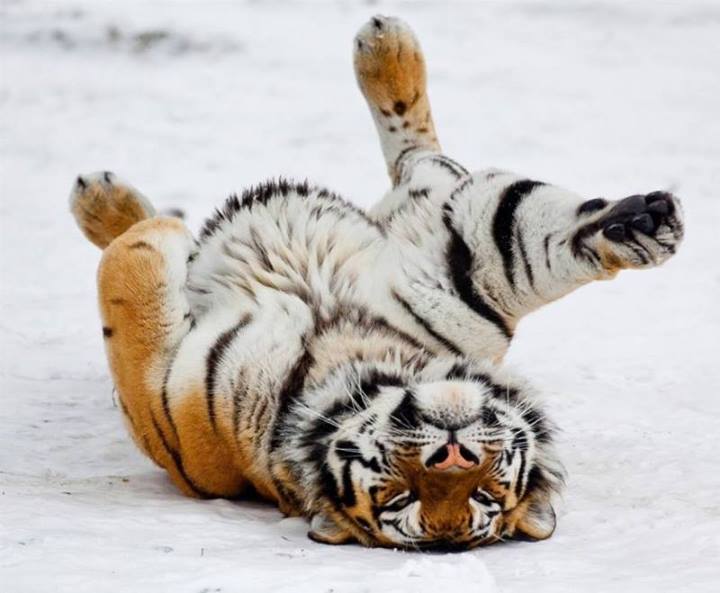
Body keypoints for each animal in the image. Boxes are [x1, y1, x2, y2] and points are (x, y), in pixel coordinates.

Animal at [69, 16, 683, 550]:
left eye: (482, 493)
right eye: (402, 496)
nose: (456, 451)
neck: (344, 349)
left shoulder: (160, 408)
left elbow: (126, 276)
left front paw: (154, 232)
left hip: (462, 243)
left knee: (441, 170)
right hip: (455, 241)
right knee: (430, 157)